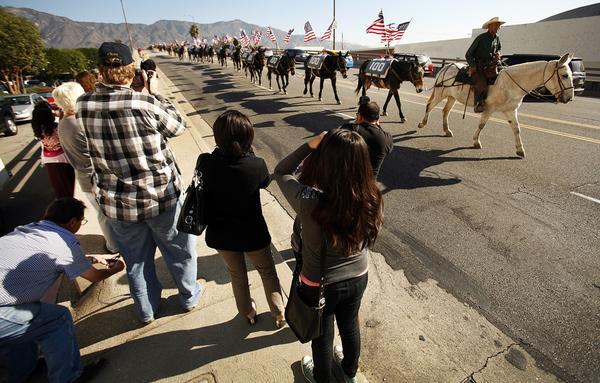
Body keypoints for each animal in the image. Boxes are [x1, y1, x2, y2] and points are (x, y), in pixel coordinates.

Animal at [420, 53, 576, 158]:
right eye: (564, 75)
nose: (569, 98)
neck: (510, 83)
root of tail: (446, 67)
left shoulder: (511, 111)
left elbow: (516, 129)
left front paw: (520, 150)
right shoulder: (489, 109)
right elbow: (482, 125)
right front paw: (476, 142)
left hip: (452, 97)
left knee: (445, 111)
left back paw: (447, 131)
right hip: (440, 94)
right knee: (429, 106)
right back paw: (422, 123)